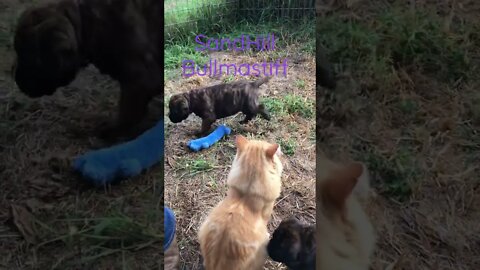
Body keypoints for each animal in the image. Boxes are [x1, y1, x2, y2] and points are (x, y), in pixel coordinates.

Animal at [12, 0, 163, 139]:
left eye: (27, 57)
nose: (18, 83)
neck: (86, 21)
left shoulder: (139, 80)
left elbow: (127, 112)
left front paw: (111, 131)